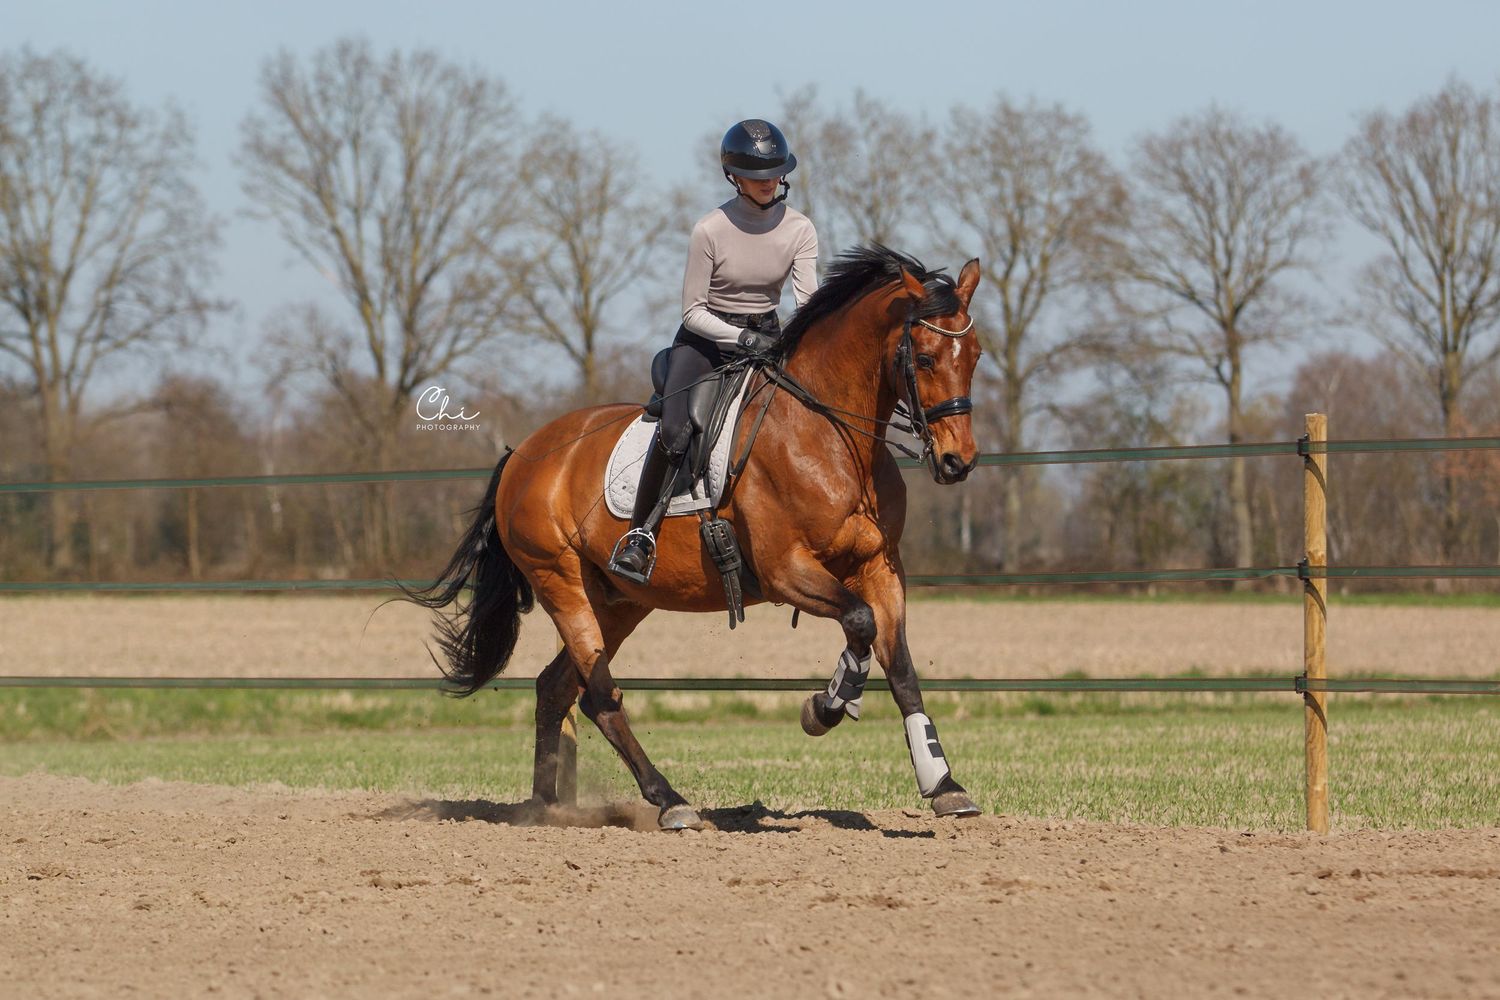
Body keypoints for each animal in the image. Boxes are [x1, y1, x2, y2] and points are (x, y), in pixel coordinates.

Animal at [407, 245, 983, 830]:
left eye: (975, 356)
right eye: (926, 359)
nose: (958, 462)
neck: (830, 435)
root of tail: (522, 454)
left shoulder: (880, 566)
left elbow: (900, 666)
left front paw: (944, 785)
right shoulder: (785, 570)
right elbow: (860, 623)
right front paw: (825, 707)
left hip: (617, 600)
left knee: (557, 688)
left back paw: (548, 809)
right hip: (561, 581)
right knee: (599, 694)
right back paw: (669, 801)